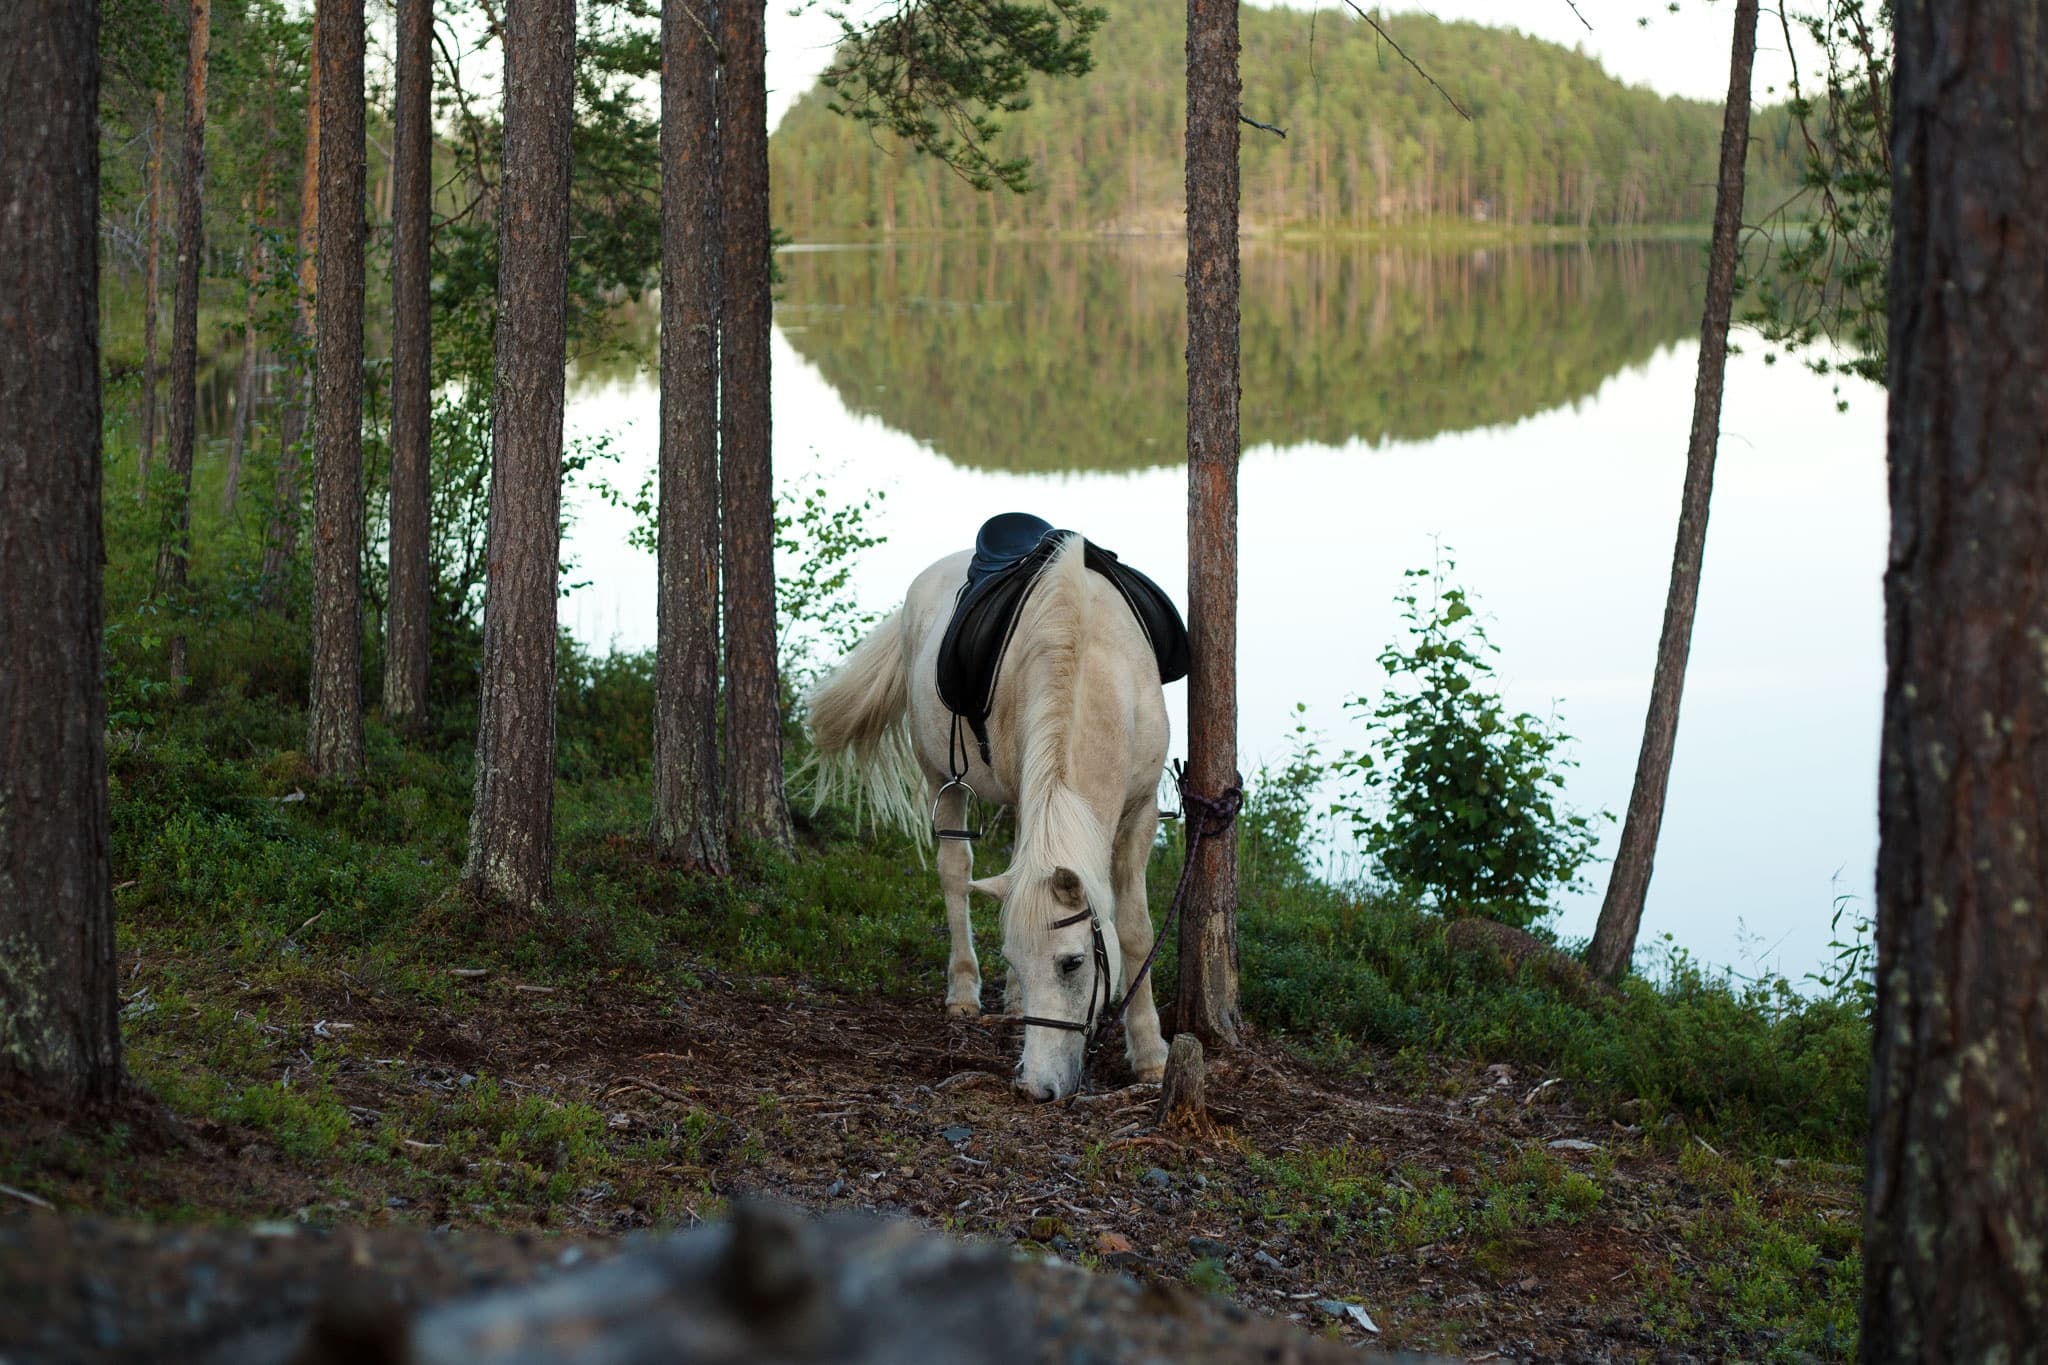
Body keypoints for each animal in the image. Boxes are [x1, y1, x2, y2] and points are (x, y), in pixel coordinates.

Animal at [804, 531, 1172, 1101]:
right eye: (1015, 958)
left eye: (1073, 962)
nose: (1036, 1088)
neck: (1089, 654)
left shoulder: (1141, 809)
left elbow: (1135, 929)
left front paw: (1151, 1056)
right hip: (938, 774)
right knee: (955, 872)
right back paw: (963, 990)